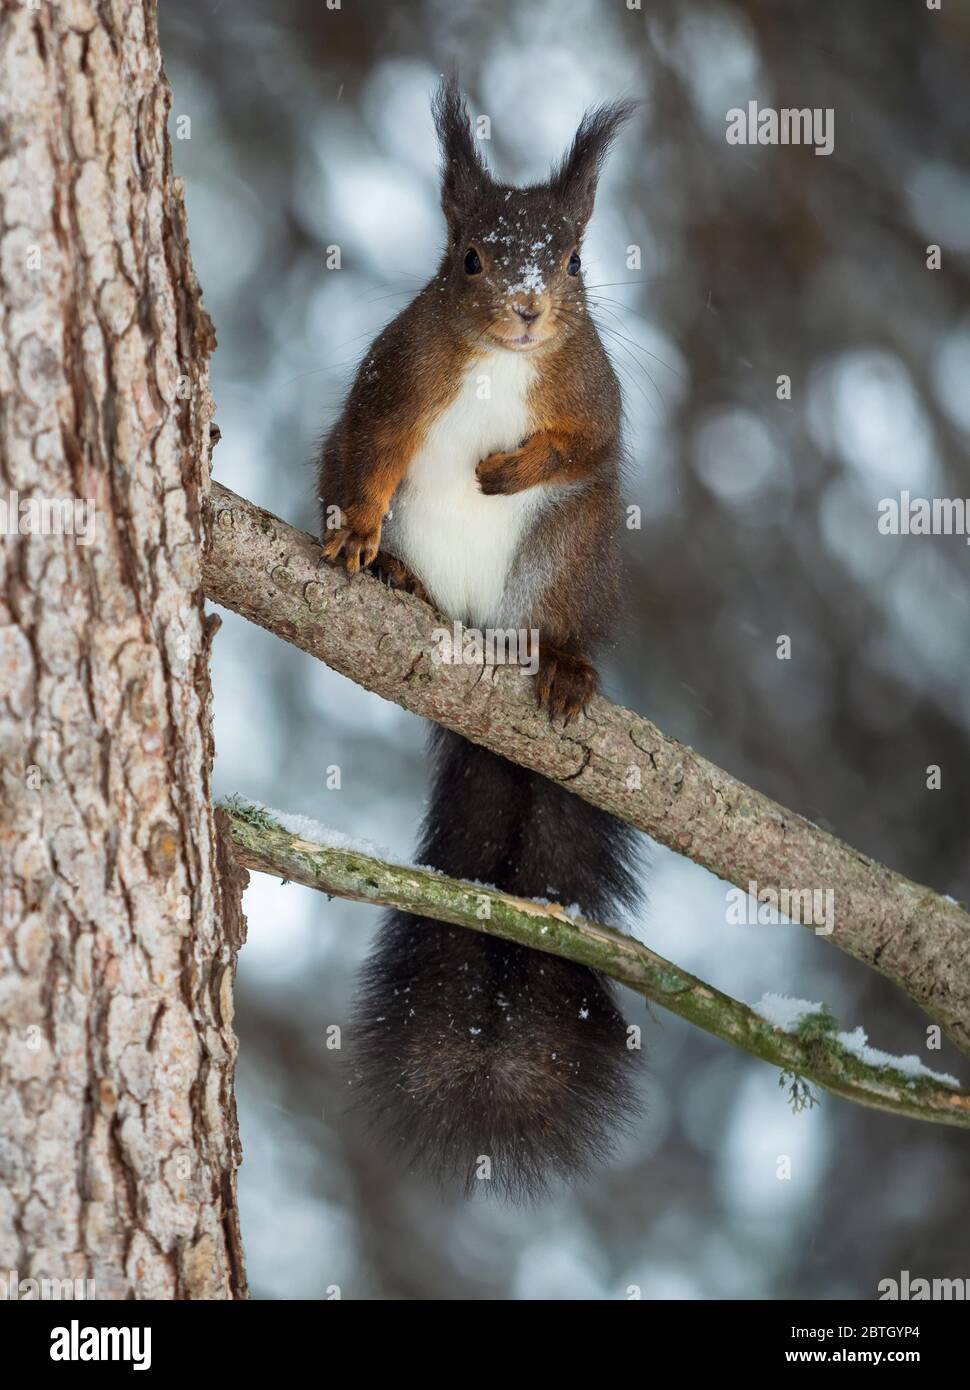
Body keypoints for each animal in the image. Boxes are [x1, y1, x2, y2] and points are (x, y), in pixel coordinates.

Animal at [317, 79, 641, 1200]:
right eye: (468, 258)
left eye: (576, 259)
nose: (529, 308)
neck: (503, 366)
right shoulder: (394, 381)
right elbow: (367, 459)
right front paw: (357, 538)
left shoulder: (594, 398)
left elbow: (587, 445)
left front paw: (509, 466)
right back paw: (402, 577)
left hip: (571, 551)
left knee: (562, 591)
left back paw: (563, 661)